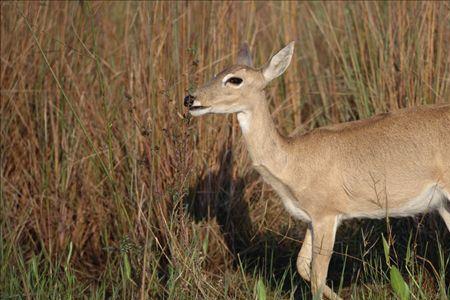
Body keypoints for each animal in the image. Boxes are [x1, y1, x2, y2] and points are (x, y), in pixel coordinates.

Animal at [184, 41, 450, 298]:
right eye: (218, 72)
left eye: (235, 79)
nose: (190, 98)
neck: (292, 162)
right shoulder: (310, 219)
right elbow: (302, 265)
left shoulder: (327, 215)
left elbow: (317, 279)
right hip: (443, 205)